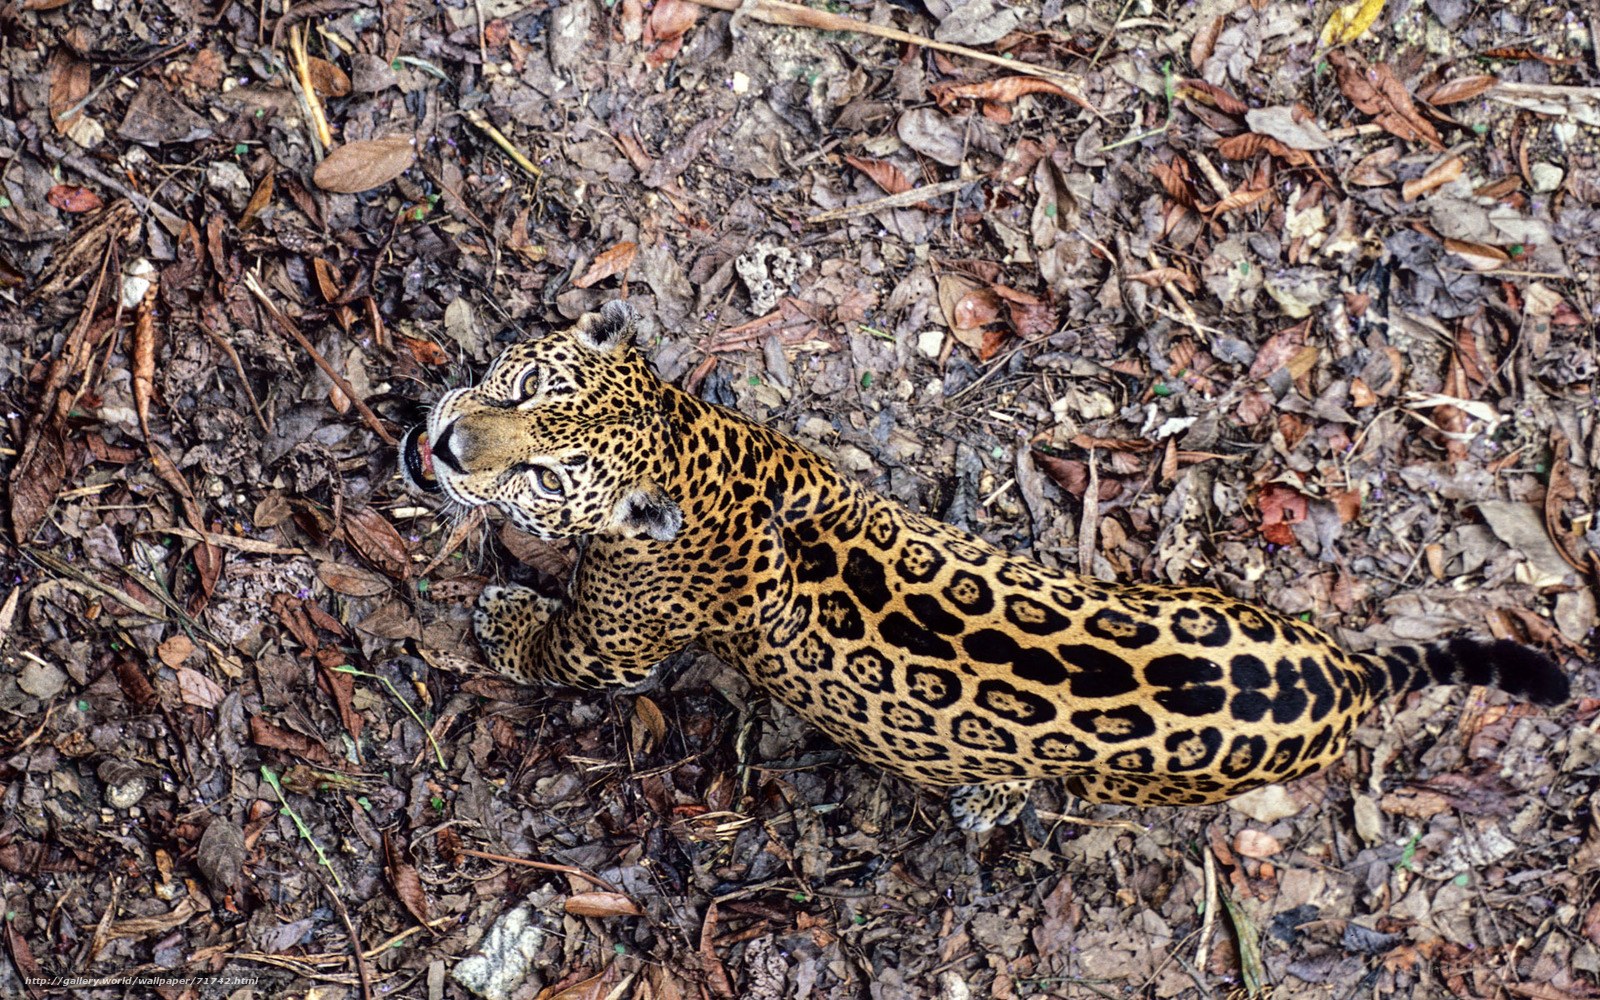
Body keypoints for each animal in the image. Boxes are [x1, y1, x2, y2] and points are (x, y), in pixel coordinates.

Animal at [400, 299, 1571, 832]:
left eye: (545, 474)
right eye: (516, 384)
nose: (448, 445)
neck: (698, 448)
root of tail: (1343, 678)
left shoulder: (617, 636)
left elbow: (560, 648)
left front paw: (499, 617)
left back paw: (986, 801)